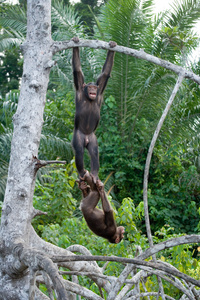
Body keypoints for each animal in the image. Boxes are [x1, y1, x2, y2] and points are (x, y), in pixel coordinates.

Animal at [71, 37, 117, 183]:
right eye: (90, 87)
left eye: (95, 88)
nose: (93, 90)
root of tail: (86, 137)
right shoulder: (80, 86)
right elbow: (77, 70)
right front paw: (75, 43)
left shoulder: (101, 87)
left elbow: (106, 73)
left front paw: (112, 46)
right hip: (78, 136)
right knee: (79, 151)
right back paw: (82, 173)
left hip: (92, 138)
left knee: (94, 152)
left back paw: (95, 174)